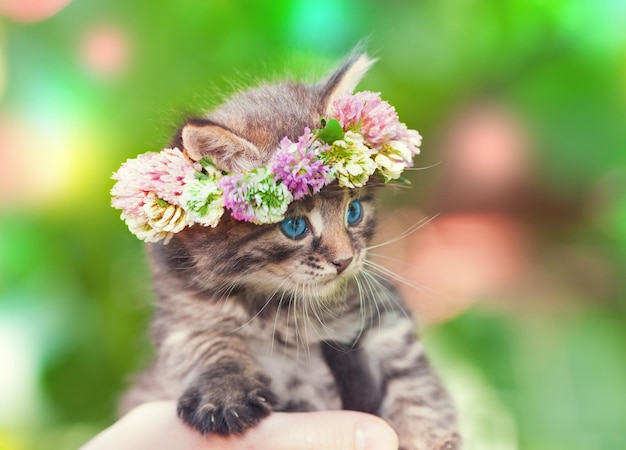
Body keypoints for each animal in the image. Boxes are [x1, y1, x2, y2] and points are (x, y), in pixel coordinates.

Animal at [118, 53, 458, 450]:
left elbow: (416, 387)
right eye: (294, 226)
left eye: (353, 211)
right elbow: (205, 343)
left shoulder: (385, 319)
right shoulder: (182, 316)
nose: (344, 261)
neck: (290, 312)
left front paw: (431, 437)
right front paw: (225, 394)